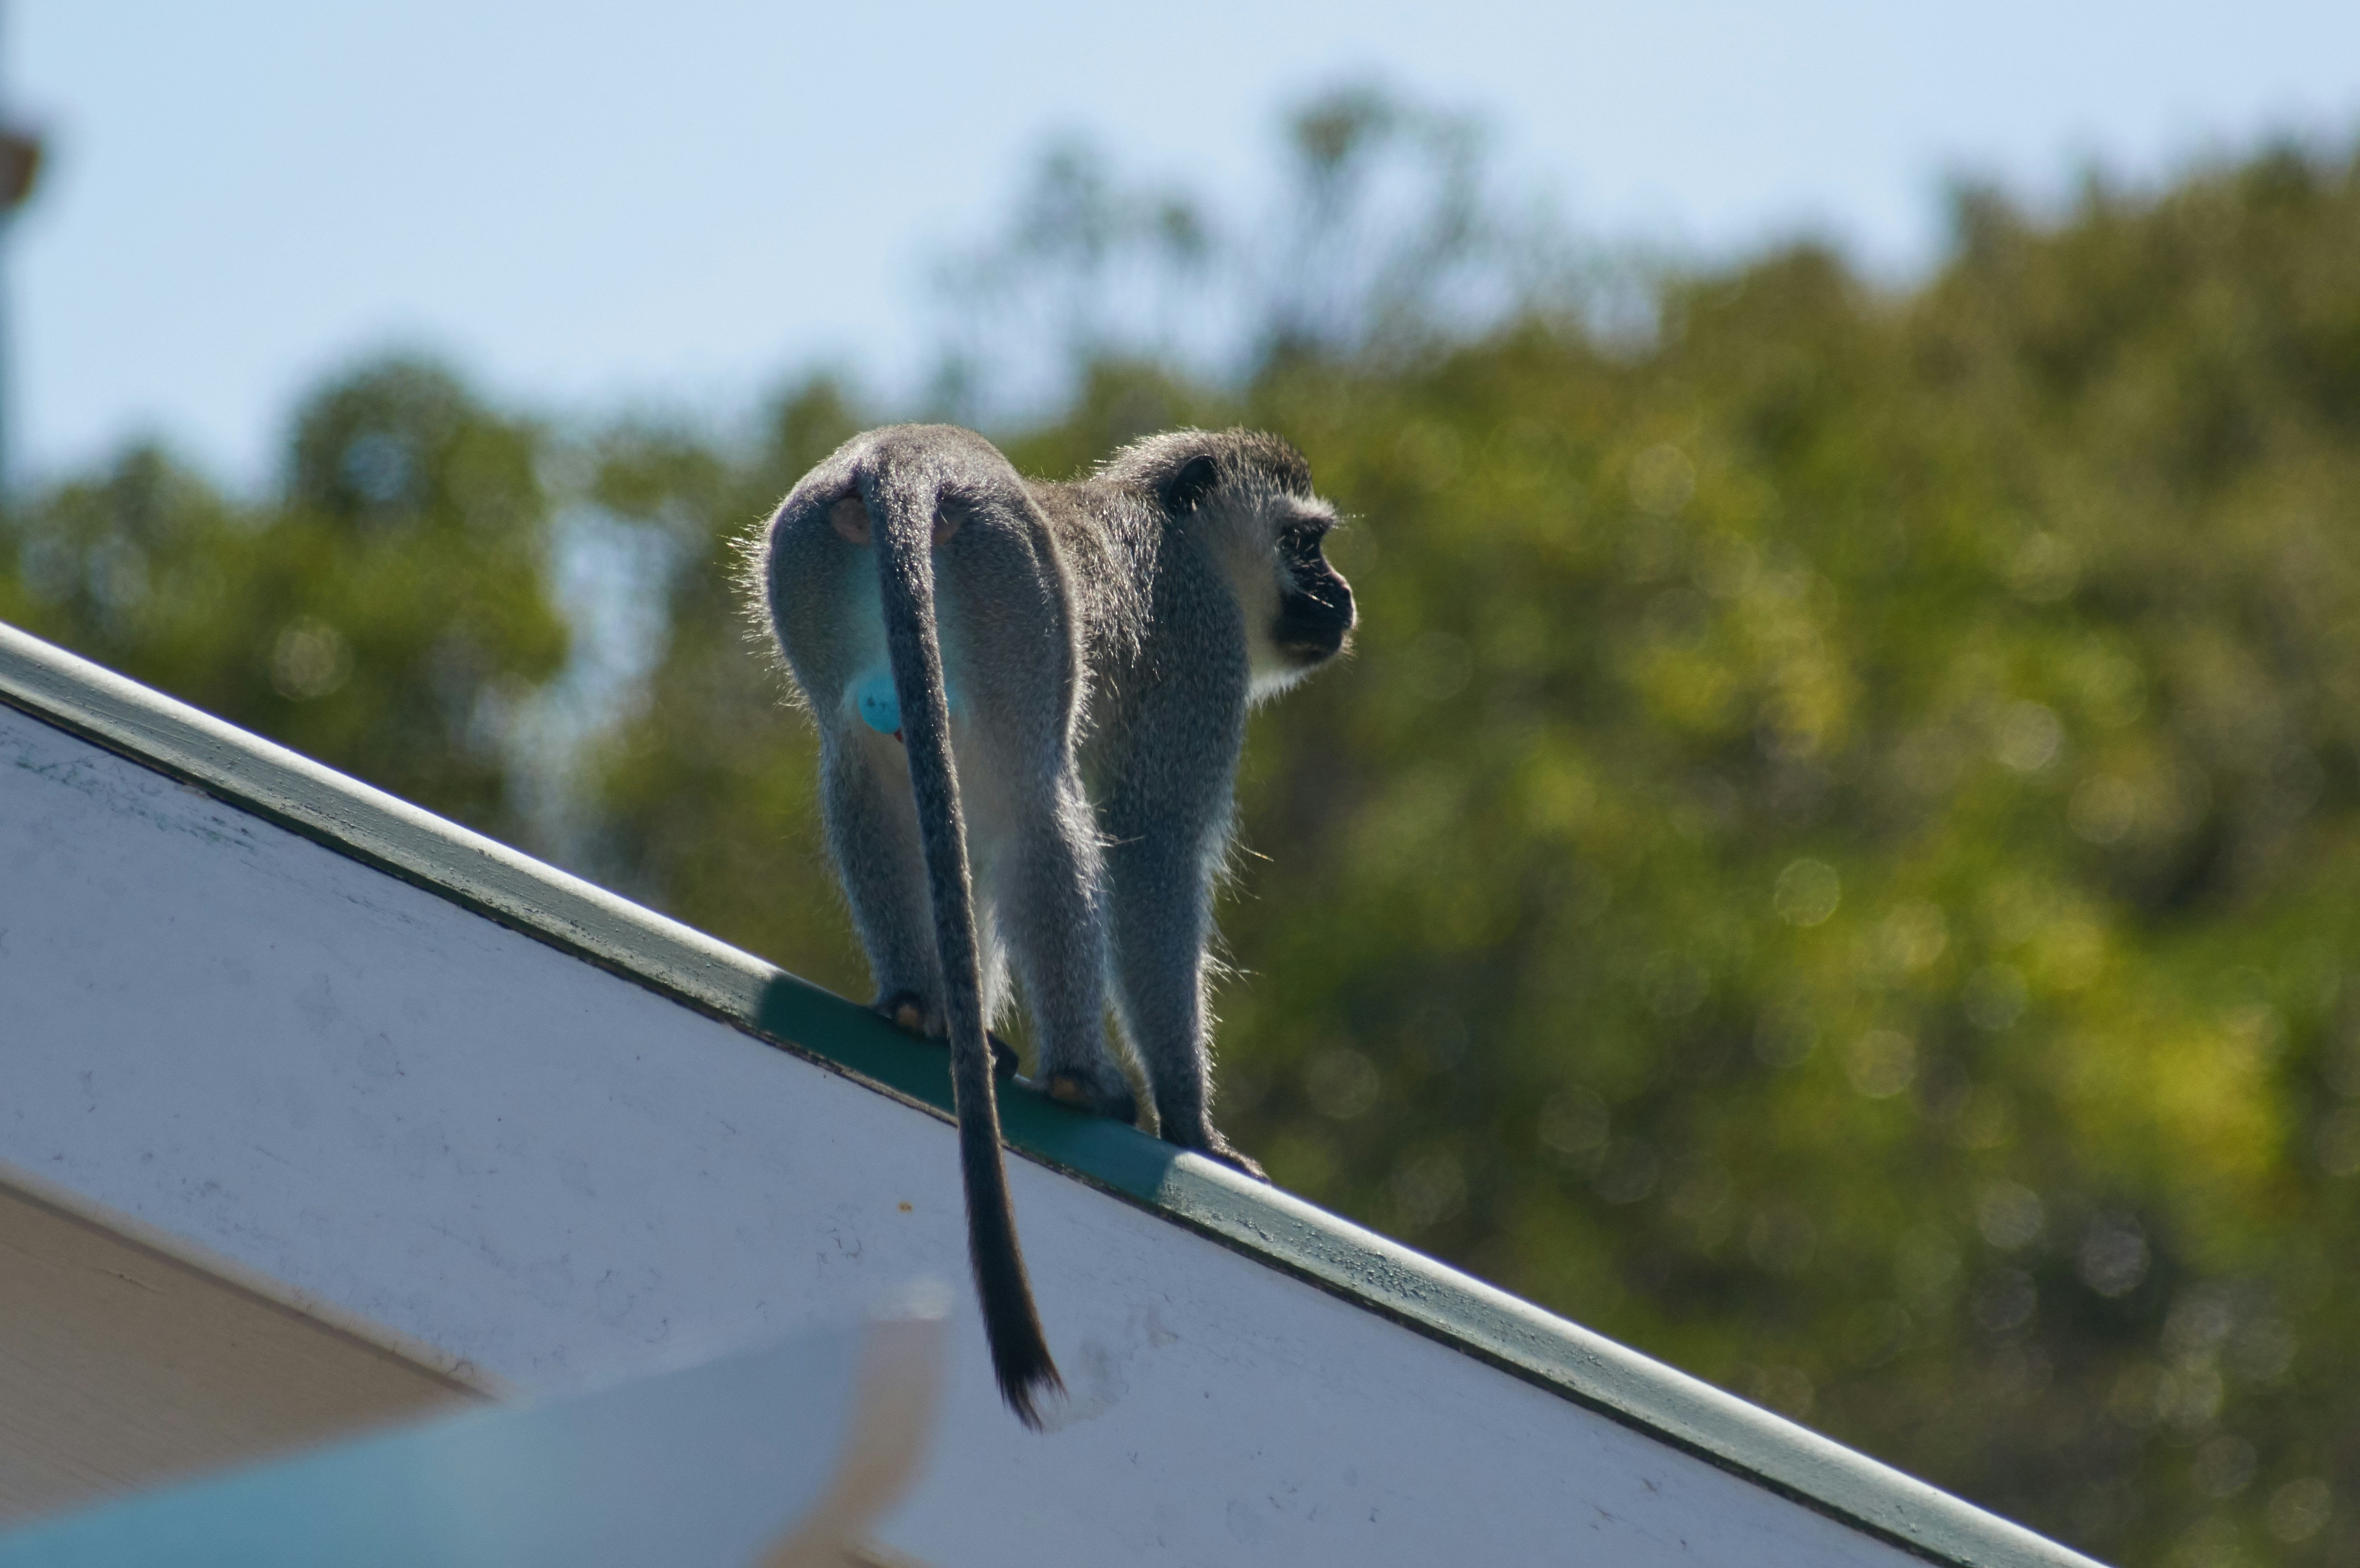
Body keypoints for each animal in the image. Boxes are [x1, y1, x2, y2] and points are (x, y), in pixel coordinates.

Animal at [750, 423, 1355, 1427]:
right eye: (1305, 543)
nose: (1342, 594)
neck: (1175, 529)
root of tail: (907, 454)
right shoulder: (1202, 646)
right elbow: (1153, 852)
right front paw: (1193, 1124)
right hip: (1018, 603)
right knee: (1040, 803)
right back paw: (1081, 1077)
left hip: (809, 570)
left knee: (870, 767)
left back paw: (922, 1007)